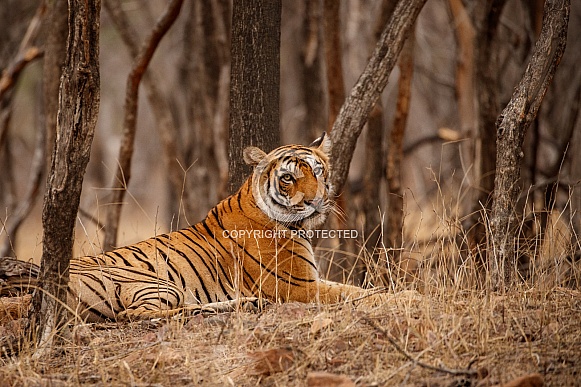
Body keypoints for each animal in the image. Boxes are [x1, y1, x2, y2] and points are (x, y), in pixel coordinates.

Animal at [62, 135, 380, 322]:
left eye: (317, 171)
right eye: (288, 178)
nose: (316, 202)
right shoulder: (299, 287)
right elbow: (360, 294)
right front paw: (393, 297)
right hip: (152, 282)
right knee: (137, 314)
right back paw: (247, 304)